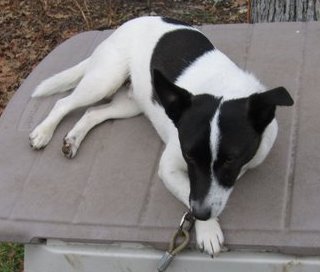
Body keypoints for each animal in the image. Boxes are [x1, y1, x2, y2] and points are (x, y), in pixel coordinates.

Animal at [28, 17, 294, 258]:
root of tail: (125, 25)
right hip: (104, 81)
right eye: (188, 155)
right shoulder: (169, 169)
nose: (201, 214)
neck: (224, 90)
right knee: (64, 102)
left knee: (93, 113)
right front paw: (207, 229)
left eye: (231, 159)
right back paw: (43, 132)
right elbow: (188, 193)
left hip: (132, 103)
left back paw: (73, 139)